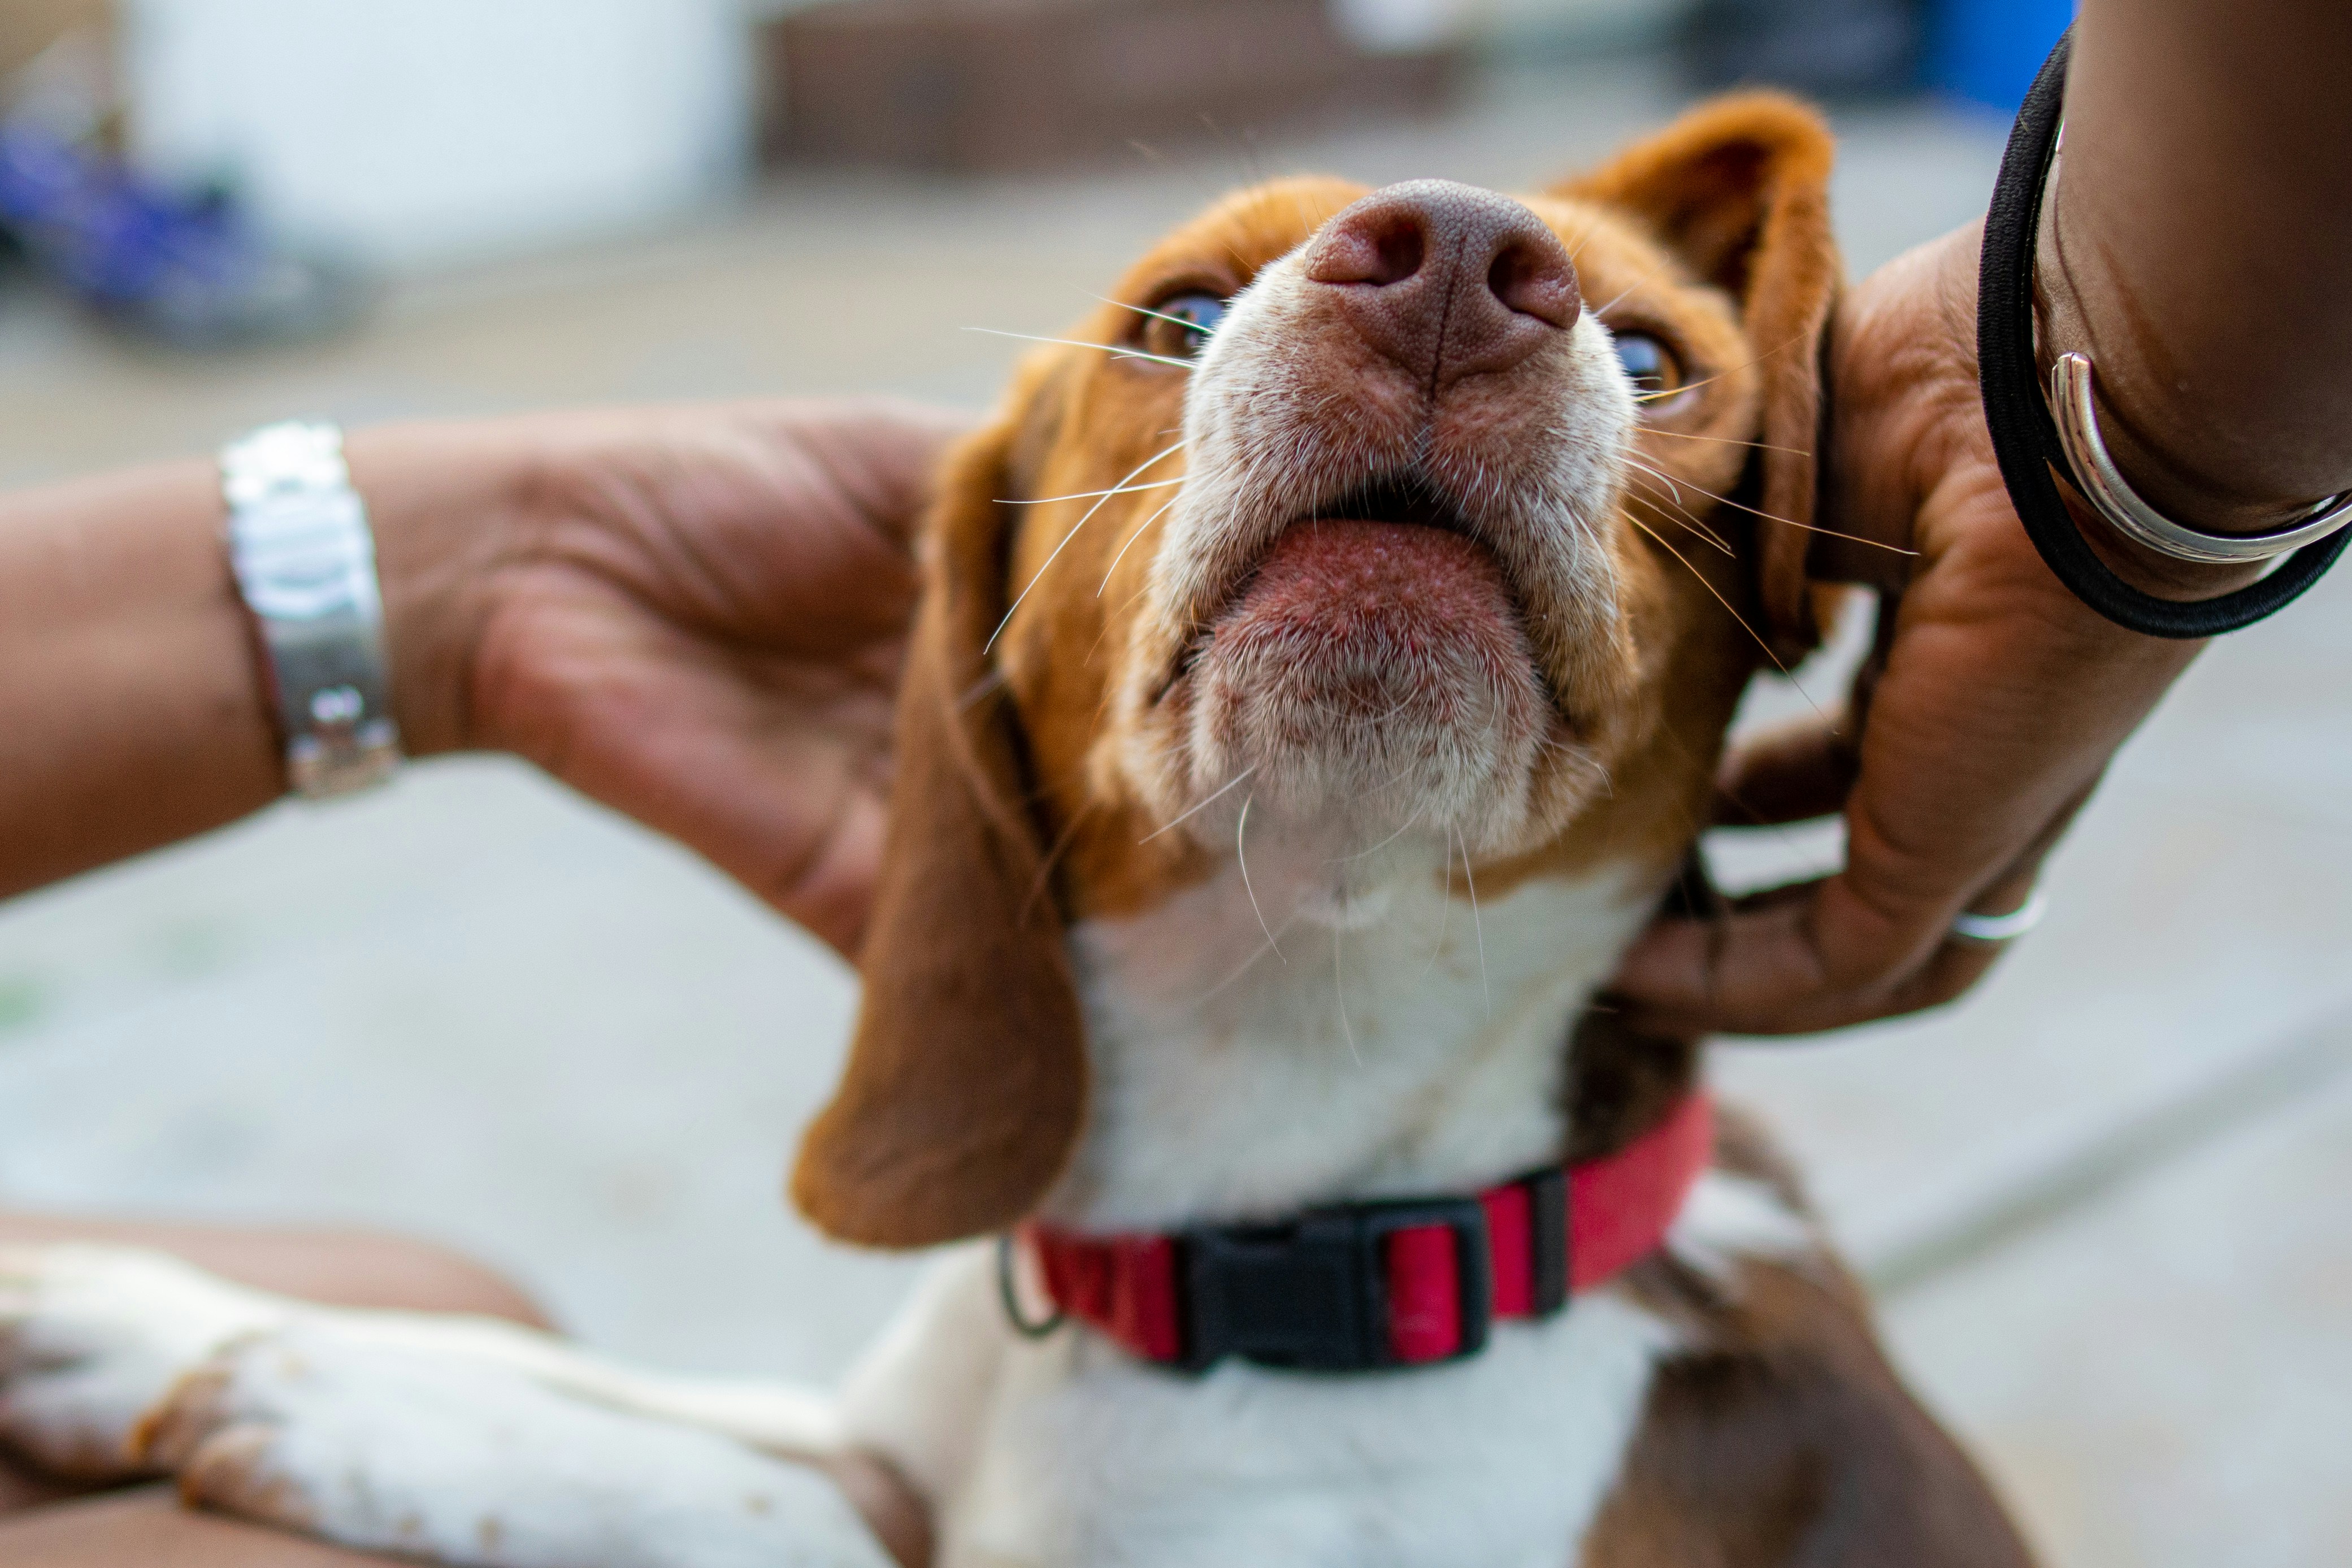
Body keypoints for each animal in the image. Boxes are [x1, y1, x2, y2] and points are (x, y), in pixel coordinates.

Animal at [0, 98, 2032, 1568]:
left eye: (1654, 357)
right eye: (1181, 316)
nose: (1460, 258)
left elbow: (787, 1515)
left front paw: (364, 1411)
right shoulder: (893, 1418)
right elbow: (684, 1395)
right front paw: (143, 1304)